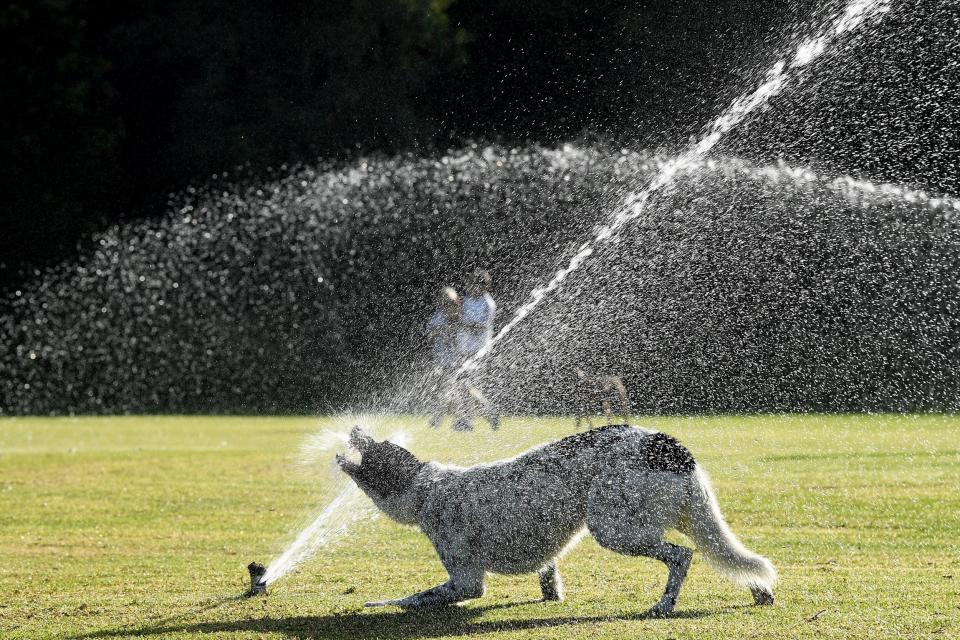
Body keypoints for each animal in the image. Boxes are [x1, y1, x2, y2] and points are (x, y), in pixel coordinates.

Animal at [334, 422, 776, 612]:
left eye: (372, 447)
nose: (354, 425)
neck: (427, 486)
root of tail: (667, 445)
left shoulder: (465, 581)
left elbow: (415, 597)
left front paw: (380, 603)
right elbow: (549, 577)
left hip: (613, 528)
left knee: (681, 556)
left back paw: (664, 605)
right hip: (693, 519)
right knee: (734, 559)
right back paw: (760, 592)